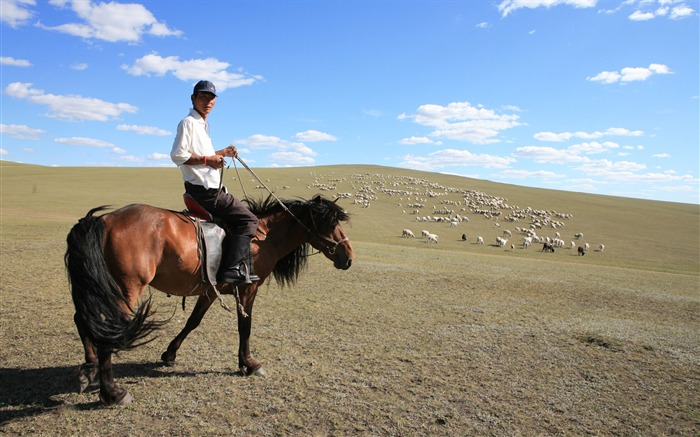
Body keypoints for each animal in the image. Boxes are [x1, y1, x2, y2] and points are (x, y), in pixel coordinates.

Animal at [64, 194, 356, 406]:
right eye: (330, 224)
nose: (349, 257)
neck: (263, 237)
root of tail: (104, 220)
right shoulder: (248, 289)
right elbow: (245, 326)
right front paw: (249, 364)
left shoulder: (209, 291)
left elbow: (193, 322)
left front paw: (170, 354)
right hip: (127, 289)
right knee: (106, 331)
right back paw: (112, 393)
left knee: (84, 319)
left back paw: (88, 370)